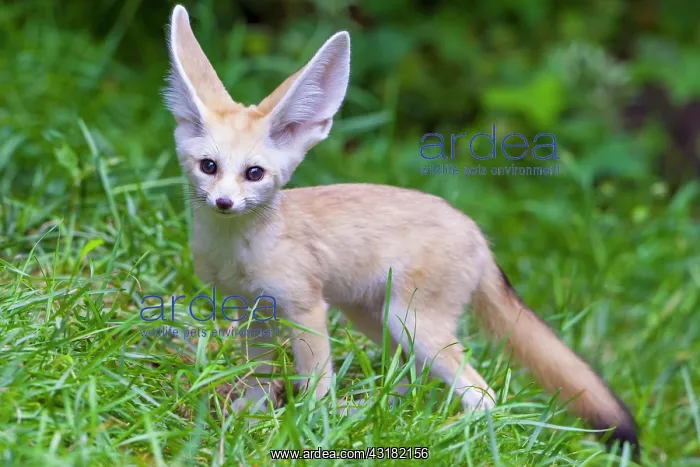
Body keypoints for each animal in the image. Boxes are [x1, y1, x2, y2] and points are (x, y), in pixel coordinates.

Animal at [164, 4, 639, 455]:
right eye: (209, 167)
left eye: (254, 173)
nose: (224, 203)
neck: (237, 253)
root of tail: (476, 231)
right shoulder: (249, 311)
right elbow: (256, 378)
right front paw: (247, 418)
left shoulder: (305, 308)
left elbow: (316, 382)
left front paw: (307, 429)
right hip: (377, 319)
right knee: (409, 377)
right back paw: (377, 414)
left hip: (411, 322)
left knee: (483, 395)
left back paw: (448, 434)